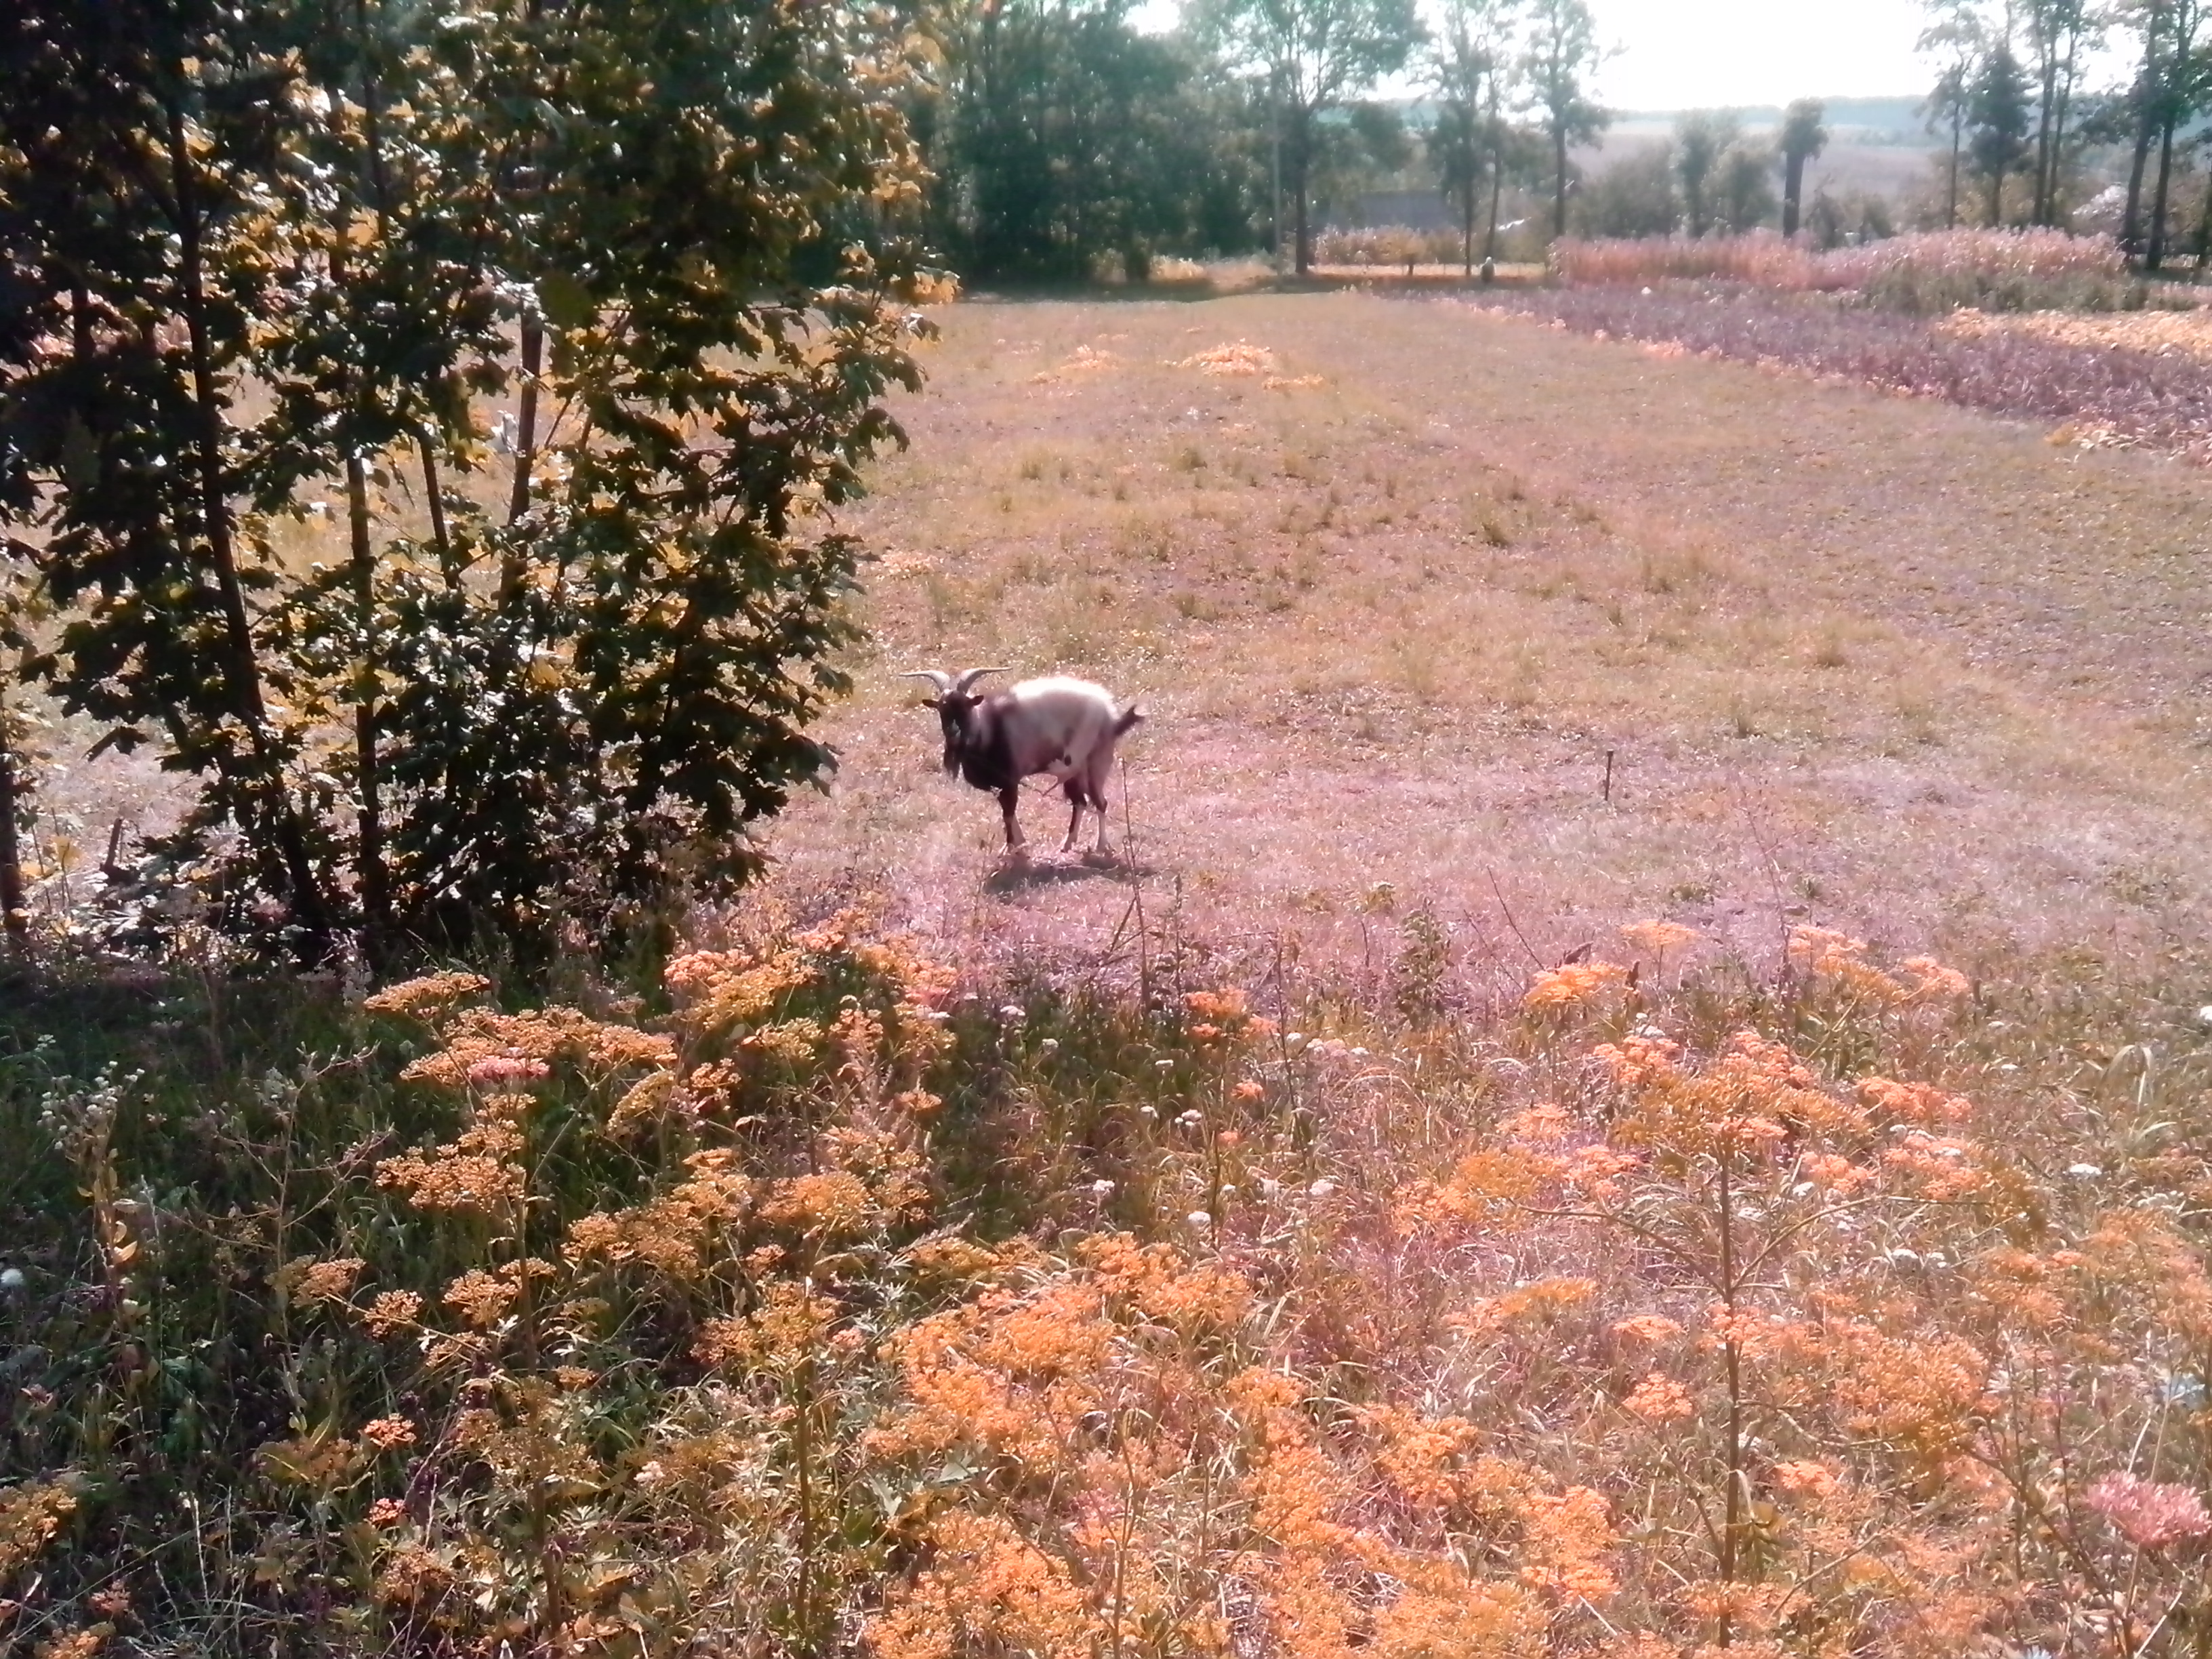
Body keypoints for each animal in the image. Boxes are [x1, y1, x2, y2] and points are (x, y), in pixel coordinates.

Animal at [898, 668, 1141, 862]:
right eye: (942, 708)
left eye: (967, 706)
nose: (954, 734)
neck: (988, 728)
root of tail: (1111, 716)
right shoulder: (1000, 785)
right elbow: (1007, 812)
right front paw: (1019, 844)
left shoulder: (1010, 780)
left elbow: (1009, 813)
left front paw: (1012, 849)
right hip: (1075, 771)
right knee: (1080, 802)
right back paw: (1067, 844)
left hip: (1096, 764)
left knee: (1100, 803)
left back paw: (1101, 846)